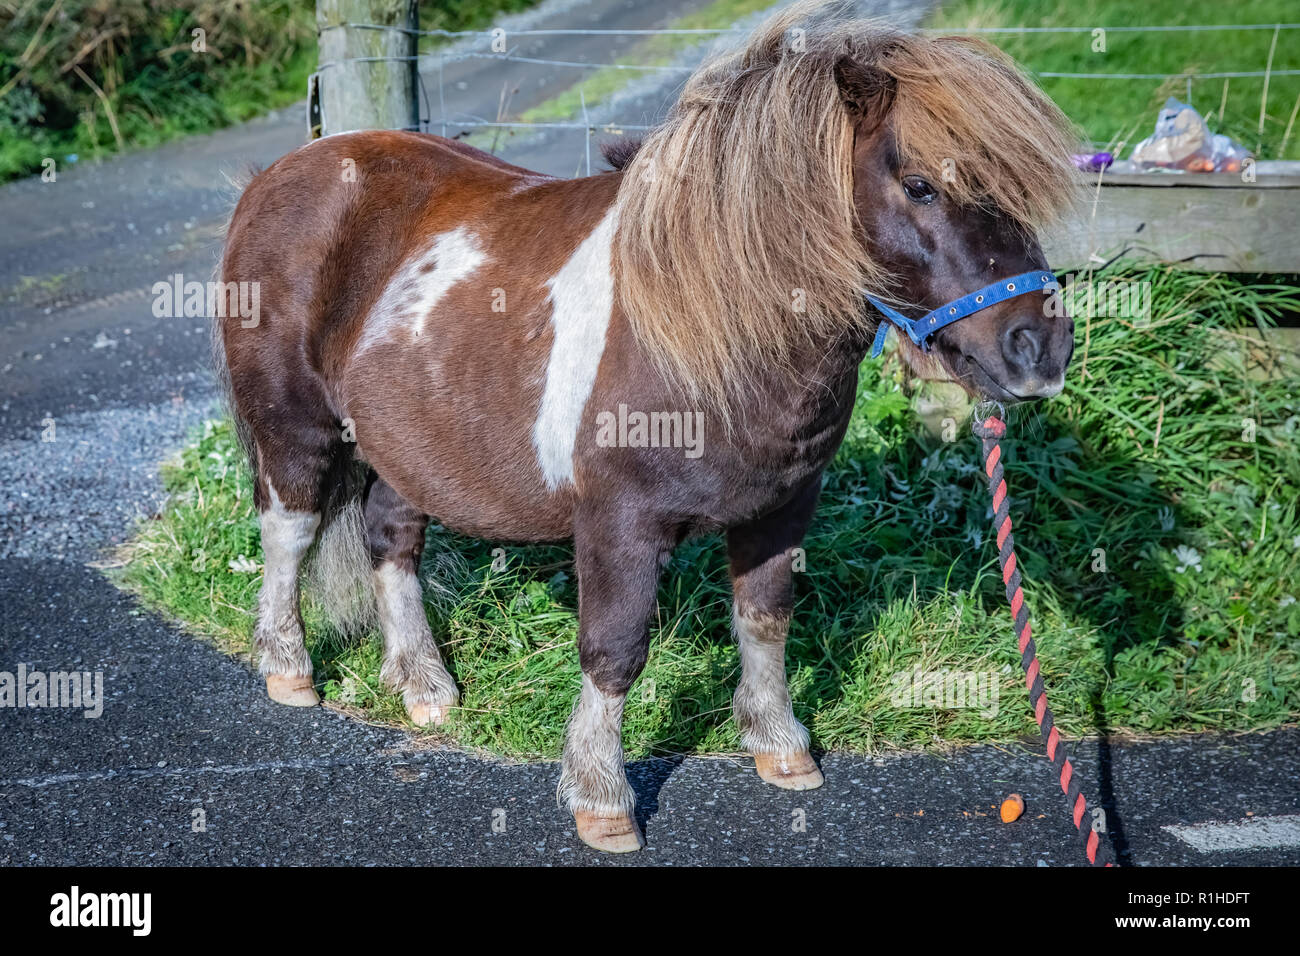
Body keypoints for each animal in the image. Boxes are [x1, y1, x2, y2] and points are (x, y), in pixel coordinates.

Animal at [220, 0, 1076, 853]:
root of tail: (282, 173)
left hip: (408, 449)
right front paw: (601, 797)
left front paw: (780, 747)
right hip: (297, 429)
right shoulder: (619, 522)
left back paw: (424, 684)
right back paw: (290, 668)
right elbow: (616, 649)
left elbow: (765, 617)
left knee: (391, 538)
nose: (1040, 349)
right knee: (289, 531)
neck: (707, 325)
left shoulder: (783, 506)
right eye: (920, 185)